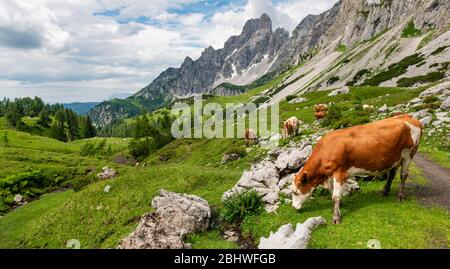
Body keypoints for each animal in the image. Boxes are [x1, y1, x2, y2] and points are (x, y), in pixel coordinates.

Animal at [292, 114, 422, 223]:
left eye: (295, 192)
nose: (294, 207)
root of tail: (409, 117)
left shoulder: (339, 172)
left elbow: (335, 196)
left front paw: (336, 217)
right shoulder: (334, 174)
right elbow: (334, 193)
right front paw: (339, 207)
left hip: (408, 154)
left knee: (403, 175)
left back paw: (400, 196)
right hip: (394, 158)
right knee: (392, 173)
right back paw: (384, 191)